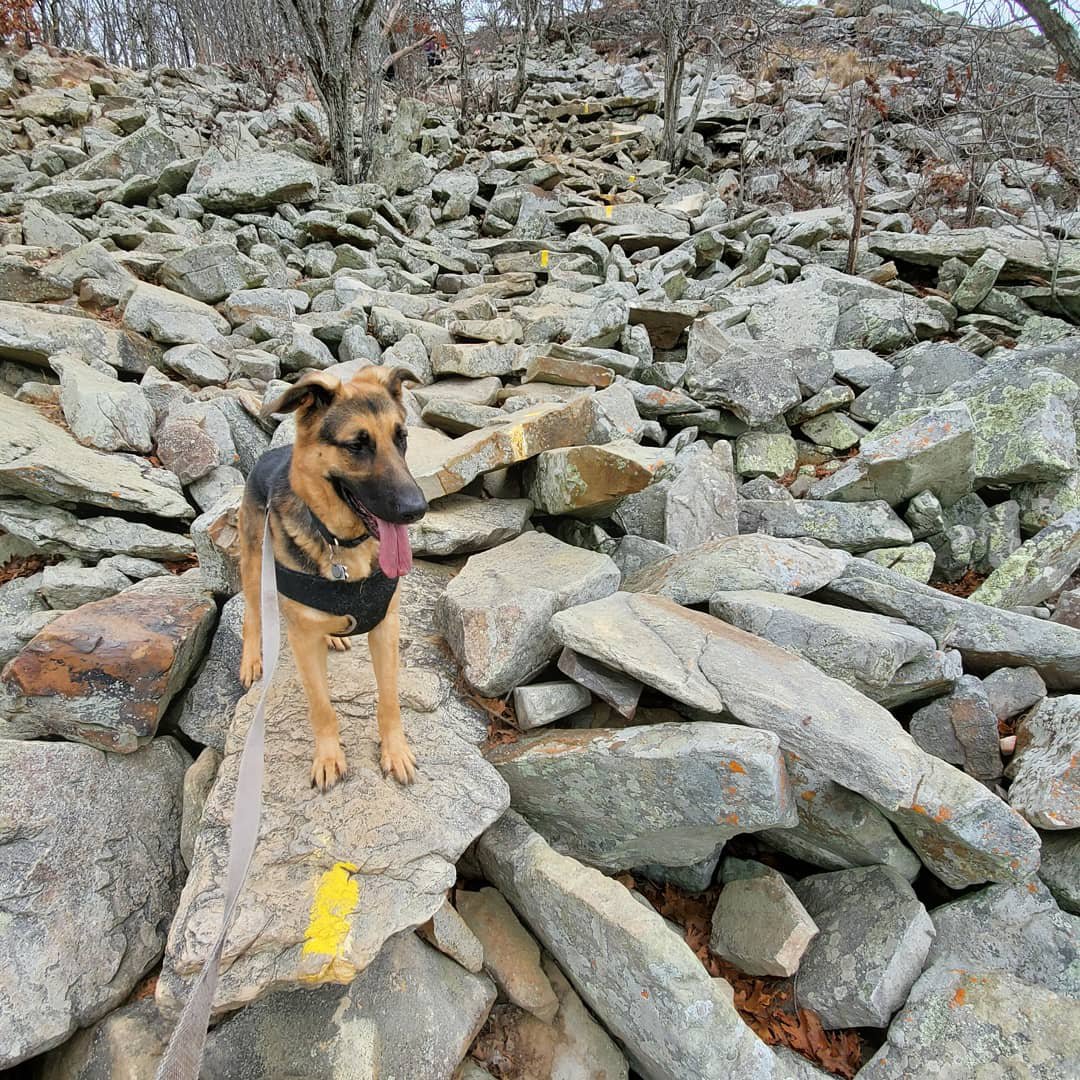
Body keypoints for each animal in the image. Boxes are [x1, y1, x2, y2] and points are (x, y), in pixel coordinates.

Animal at [238, 367, 427, 790]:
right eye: (357, 445)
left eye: (402, 438)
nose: (417, 509)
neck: (342, 543)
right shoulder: (303, 643)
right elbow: (321, 706)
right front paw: (328, 758)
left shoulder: (386, 627)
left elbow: (389, 698)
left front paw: (395, 751)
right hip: (254, 567)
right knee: (252, 615)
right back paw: (252, 660)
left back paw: (335, 635)